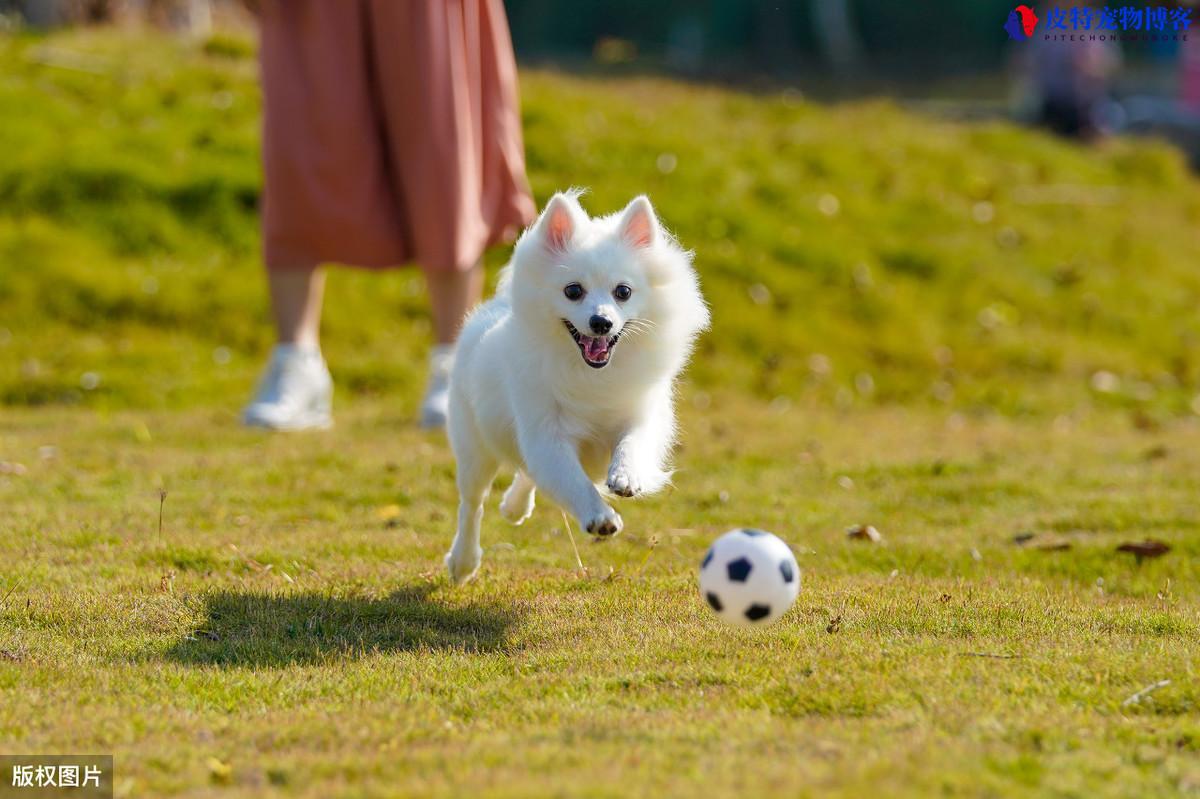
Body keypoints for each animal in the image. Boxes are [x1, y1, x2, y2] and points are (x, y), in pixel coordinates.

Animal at [444, 190, 705, 583]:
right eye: (573, 291)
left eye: (623, 292)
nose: (601, 322)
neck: (591, 373)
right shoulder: (545, 434)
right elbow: (570, 478)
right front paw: (600, 517)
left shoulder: (641, 415)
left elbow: (632, 443)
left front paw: (625, 475)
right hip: (475, 445)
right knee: (472, 503)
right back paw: (463, 561)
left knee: (525, 473)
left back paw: (514, 507)